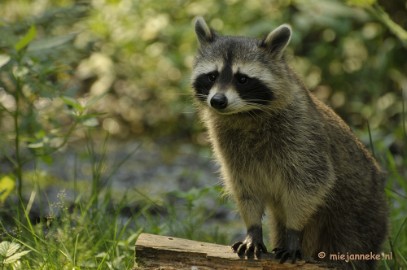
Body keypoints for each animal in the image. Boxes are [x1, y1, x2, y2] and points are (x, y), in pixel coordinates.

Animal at [191, 17, 388, 270]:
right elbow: (244, 186)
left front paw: (294, 232)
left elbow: (310, 183)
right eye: (212, 76)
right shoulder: (229, 146)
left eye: (242, 79)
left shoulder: (302, 136)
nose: (217, 101)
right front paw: (253, 228)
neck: (245, 114)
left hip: (359, 214)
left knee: (350, 244)